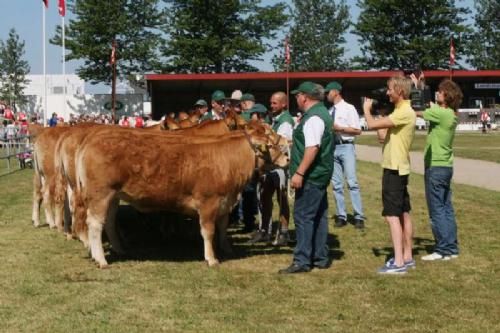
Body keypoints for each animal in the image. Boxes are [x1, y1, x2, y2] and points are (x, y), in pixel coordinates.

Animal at [72, 127, 288, 268]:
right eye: (271, 144)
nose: (287, 158)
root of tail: (92, 138)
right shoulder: (208, 203)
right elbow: (208, 231)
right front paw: (211, 258)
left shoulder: (224, 202)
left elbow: (222, 227)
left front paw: (226, 249)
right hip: (100, 194)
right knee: (95, 224)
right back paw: (101, 259)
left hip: (113, 196)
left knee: (108, 221)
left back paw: (118, 249)